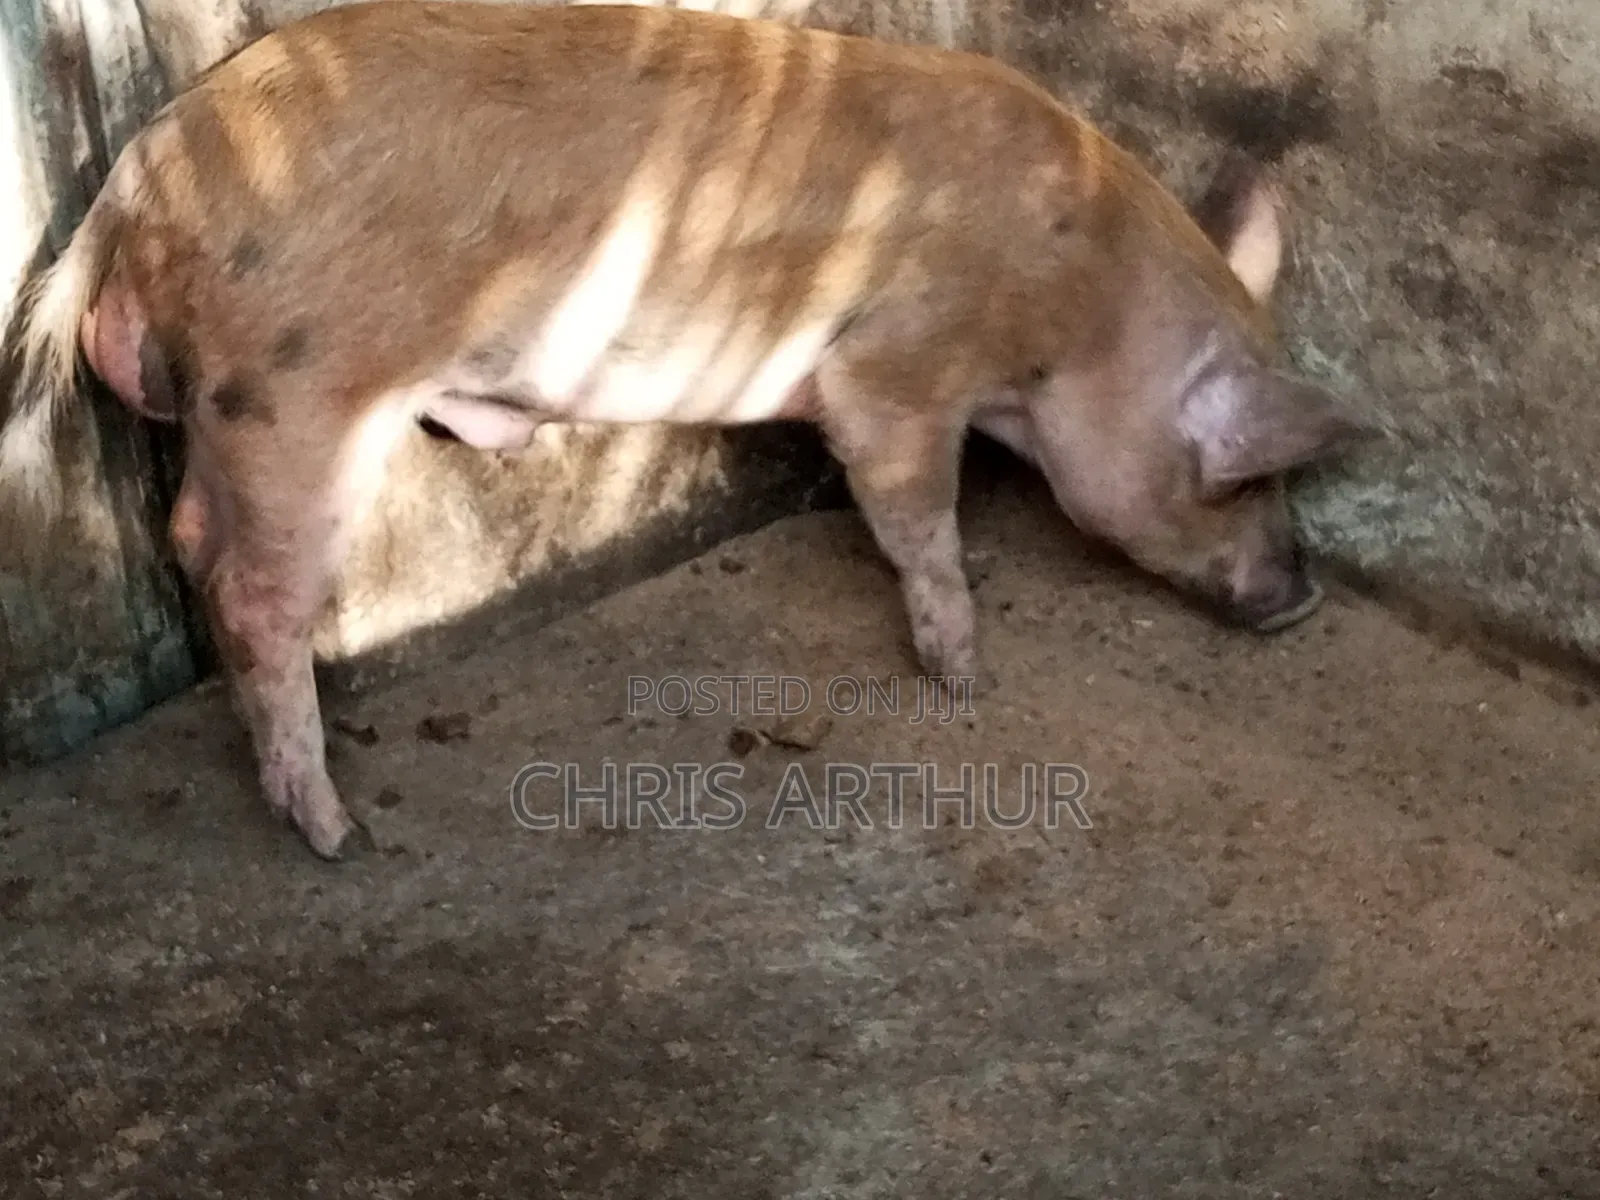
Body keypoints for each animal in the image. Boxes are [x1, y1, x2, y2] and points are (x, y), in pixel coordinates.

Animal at [0, 0, 1375, 858]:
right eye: (1236, 477)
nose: (1302, 594)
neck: (1067, 306)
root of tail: (131, 182)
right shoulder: (893, 367)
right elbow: (912, 511)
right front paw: (964, 671)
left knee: (188, 534)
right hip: (294, 387)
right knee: (251, 589)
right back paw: (341, 837)